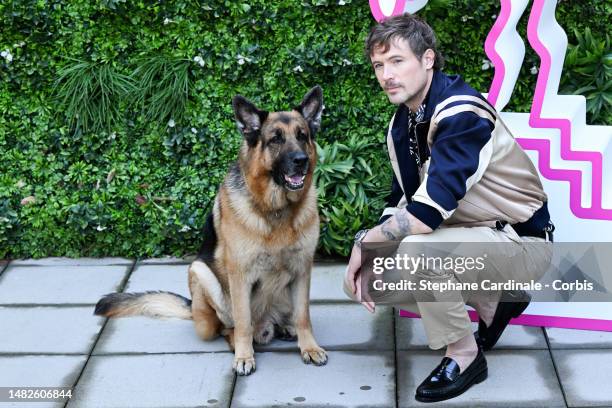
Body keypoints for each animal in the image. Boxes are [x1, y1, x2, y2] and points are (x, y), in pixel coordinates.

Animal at [94, 86, 326, 376]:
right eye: (276, 139)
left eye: (302, 135)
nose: (301, 161)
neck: (276, 210)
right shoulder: (240, 275)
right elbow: (243, 322)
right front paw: (244, 356)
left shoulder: (302, 269)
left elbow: (304, 316)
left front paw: (310, 347)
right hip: (200, 274)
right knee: (229, 328)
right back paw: (241, 343)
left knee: (288, 318)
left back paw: (286, 328)